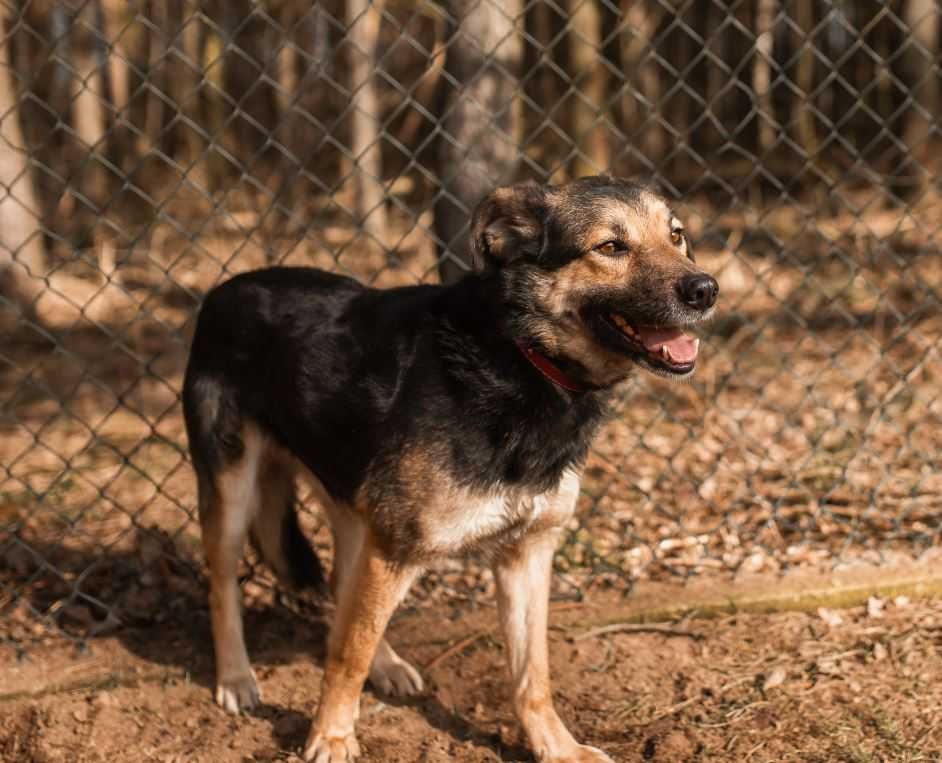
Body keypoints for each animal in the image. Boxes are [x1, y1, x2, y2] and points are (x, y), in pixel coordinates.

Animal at [181, 176, 720, 760]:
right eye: (611, 247)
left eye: (676, 236)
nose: (706, 290)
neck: (521, 361)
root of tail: (227, 287)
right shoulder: (398, 549)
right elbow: (348, 654)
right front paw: (331, 737)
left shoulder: (527, 552)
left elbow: (532, 674)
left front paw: (556, 746)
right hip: (233, 492)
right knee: (224, 588)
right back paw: (236, 677)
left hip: (353, 502)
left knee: (344, 584)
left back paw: (388, 664)